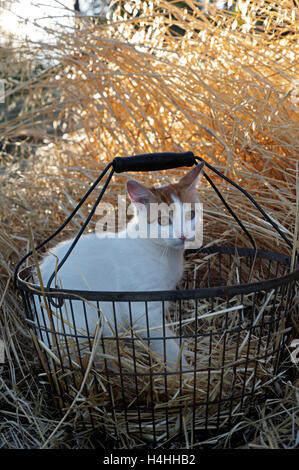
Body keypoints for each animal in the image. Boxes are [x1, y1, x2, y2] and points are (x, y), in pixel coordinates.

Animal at [34, 162, 204, 370]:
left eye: (191, 215)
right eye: (163, 221)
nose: (183, 235)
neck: (164, 253)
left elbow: (168, 335)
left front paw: (184, 350)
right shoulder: (142, 309)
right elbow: (164, 343)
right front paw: (182, 369)